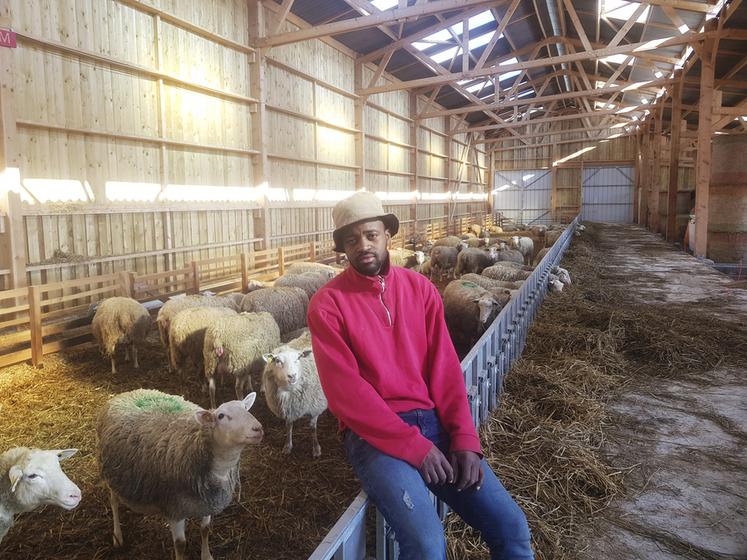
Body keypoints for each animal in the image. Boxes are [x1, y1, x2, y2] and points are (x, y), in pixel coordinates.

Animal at [97, 390, 262, 560]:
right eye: (221, 416)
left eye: (246, 408)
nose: (258, 429)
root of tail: (127, 393)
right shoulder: (175, 507)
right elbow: (180, 545)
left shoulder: (207, 502)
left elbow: (205, 529)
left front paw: (206, 555)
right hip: (110, 472)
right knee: (114, 502)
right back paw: (117, 537)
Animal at [262, 330, 326, 458]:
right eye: (278, 361)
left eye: (298, 358)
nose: (292, 376)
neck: (289, 391)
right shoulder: (288, 408)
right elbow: (289, 426)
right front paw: (288, 445)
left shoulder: (316, 407)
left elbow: (312, 428)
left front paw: (316, 448)